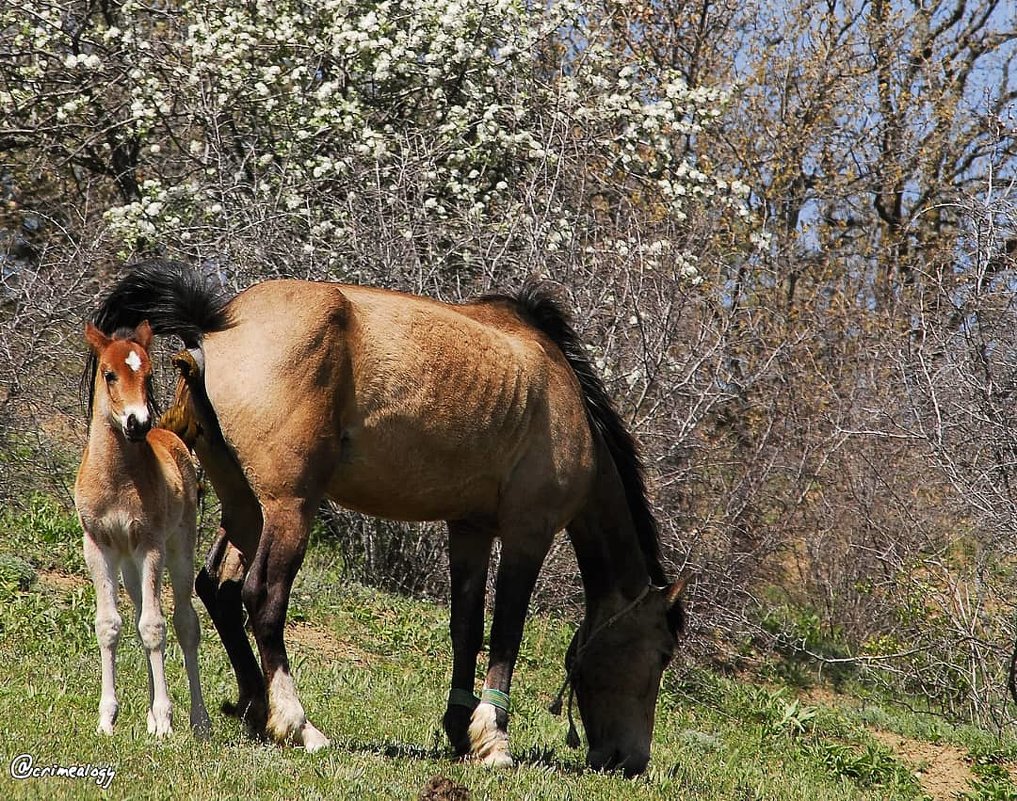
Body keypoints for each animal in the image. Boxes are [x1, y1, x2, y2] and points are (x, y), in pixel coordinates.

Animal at [76, 319, 211, 740]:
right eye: (109, 374)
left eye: (149, 375)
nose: (138, 422)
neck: (116, 479)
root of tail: (173, 436)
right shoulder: (97, 545)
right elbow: (109, 625)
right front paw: (107, 719)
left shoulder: (151, 545)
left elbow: (155, 627)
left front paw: (165, 720)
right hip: (130, 565)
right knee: (137, 615)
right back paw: (150, 716)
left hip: (177, 548)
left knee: (185, 622)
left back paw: (199, 721)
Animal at [91, 262, 687, 776]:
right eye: (661, 653)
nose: (630, 760)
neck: (560, 393)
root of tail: (217, 321)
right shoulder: (527, 534)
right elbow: (507, 632)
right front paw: (493, 739)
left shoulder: (469, 530)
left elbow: (466, 627)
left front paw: (459, 728)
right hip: (288, 507)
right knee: (261, 596)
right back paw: (297, 722)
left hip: (246, 508)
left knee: (218, 586)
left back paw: (257, 707)